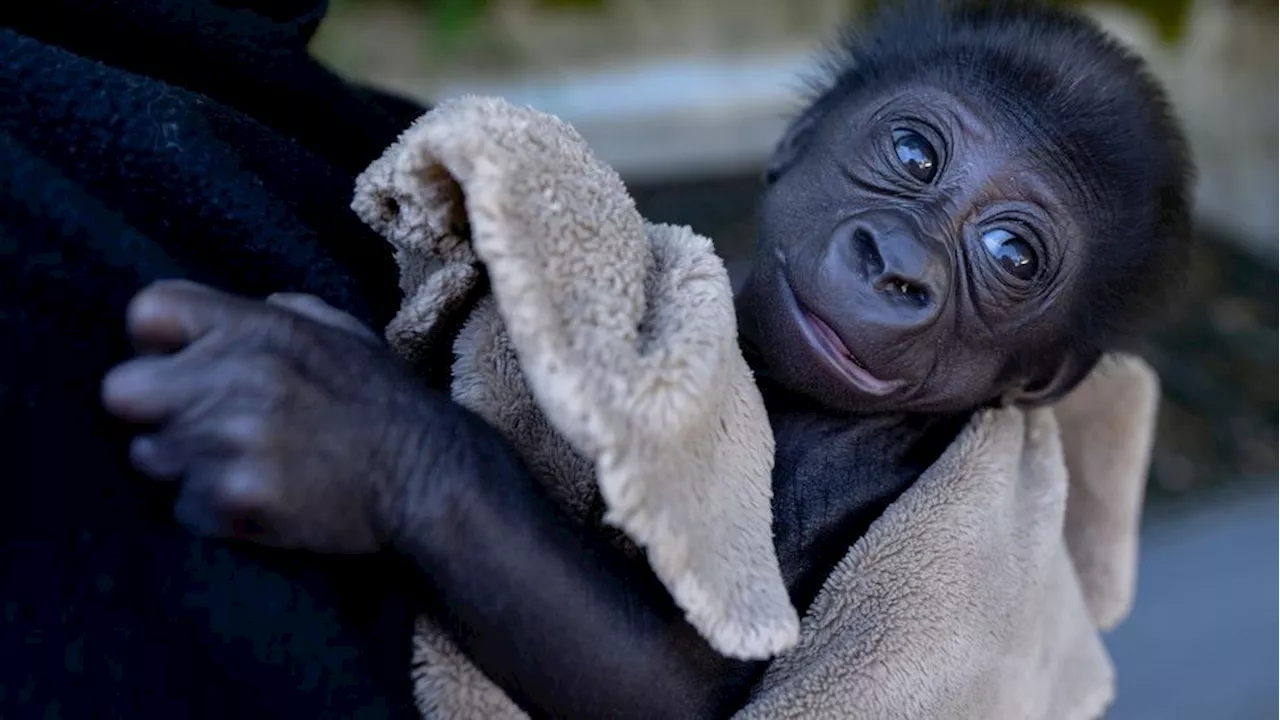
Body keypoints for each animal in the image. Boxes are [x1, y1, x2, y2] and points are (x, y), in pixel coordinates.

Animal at [99, 2, 1187, 712]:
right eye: (914, 156)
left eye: (1011, 256)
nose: (898, 267)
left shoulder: (862, 466)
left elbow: (672, 685)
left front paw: (349, 438)